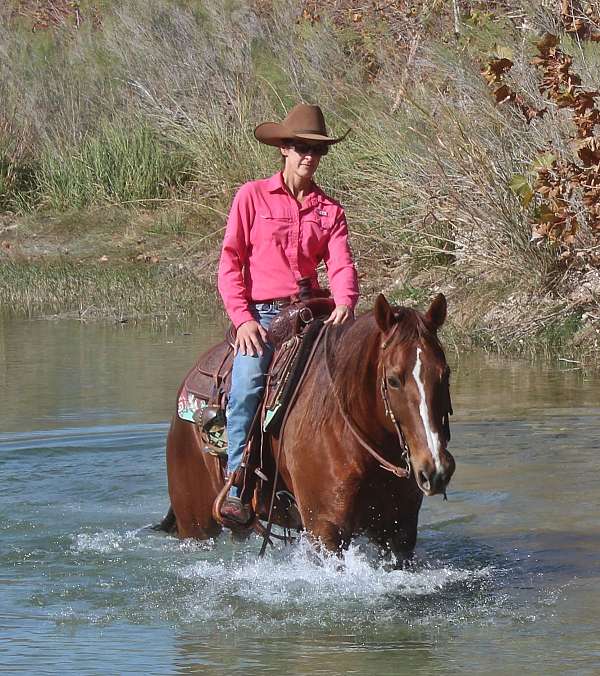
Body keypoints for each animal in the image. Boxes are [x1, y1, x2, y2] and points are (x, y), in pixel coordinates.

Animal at [159, 292, 454, 560]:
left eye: (445, 373)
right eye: (393, 380)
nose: (435, 470)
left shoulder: (400, 532)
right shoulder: (326, 530)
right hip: (195, 524)